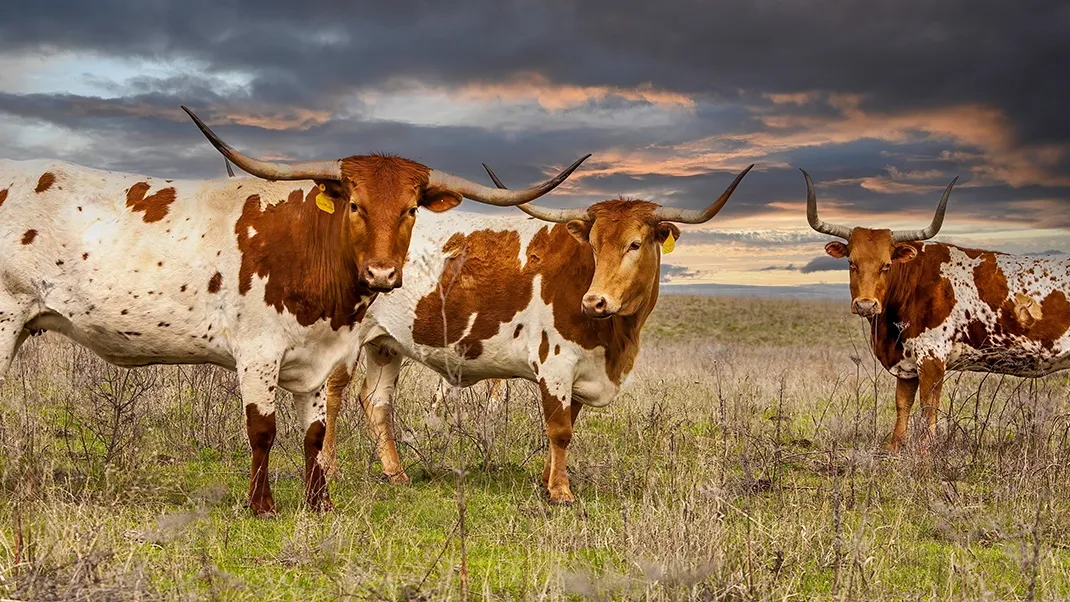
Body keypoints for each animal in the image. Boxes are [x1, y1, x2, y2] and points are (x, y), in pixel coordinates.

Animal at [0, 106, 589, 515]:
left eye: (410, 209)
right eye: (355, 204)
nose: (382, 275)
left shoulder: (324, 356)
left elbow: (314, 433)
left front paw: (318, 502)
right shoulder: (257, 353)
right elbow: (263, 429)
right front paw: (262, 505)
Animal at [322, 165, 754, 503]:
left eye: (634, 244)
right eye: (594, 244)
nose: (595, 301)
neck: (616, 337)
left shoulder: (581, 373)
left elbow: (567, 427)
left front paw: (548, 481)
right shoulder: (556, 363)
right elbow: (559, 430)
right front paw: (560, 492)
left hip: (385, 344)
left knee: (376, 401)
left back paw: (396, 473)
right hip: (347, 337)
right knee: (334, 395)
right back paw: (328, 467)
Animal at [801, 170, 1070, 450]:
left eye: (886, 265)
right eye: (851, 263)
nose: (866, 304)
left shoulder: (932, 358)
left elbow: (928, 408)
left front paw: (924, 450)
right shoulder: (906, 363)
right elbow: (903, 404)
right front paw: (895, 447)